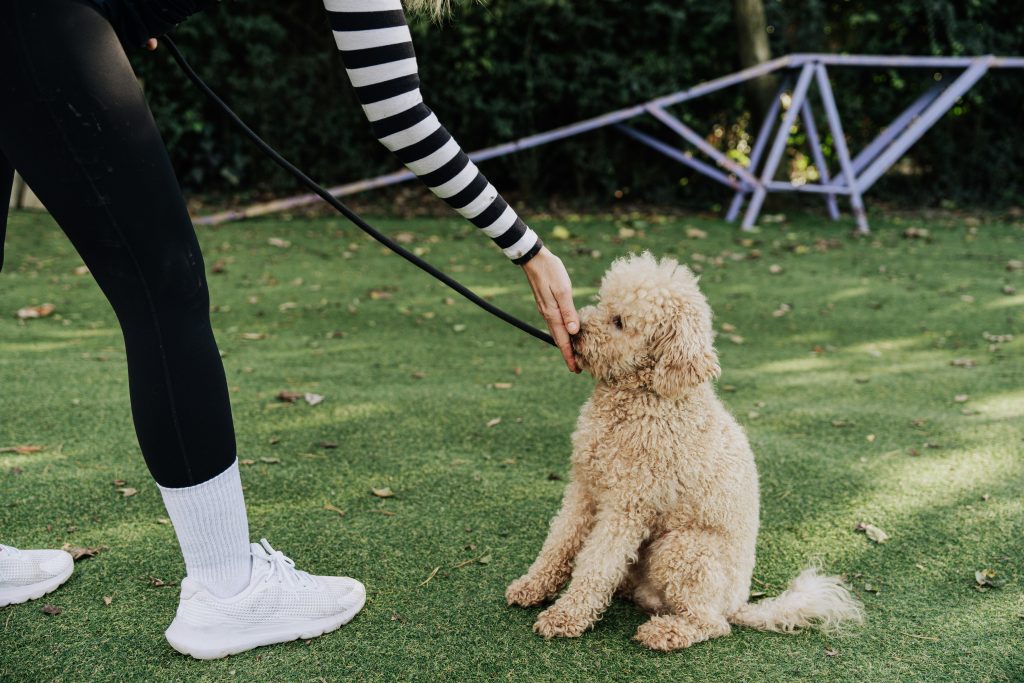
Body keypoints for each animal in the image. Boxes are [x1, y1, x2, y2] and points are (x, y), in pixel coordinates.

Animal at [505, 252, 864, 651]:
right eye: (602, 302)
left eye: (620, 321)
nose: (574, 331)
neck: (643, 397)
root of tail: (738, 604)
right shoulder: (584, 487)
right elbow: (559, 542)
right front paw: (532, 587)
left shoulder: (627, 504)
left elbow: (596, 564)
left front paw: (566, 616)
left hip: (683, 549)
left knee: (711, 623)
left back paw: (666, 631)